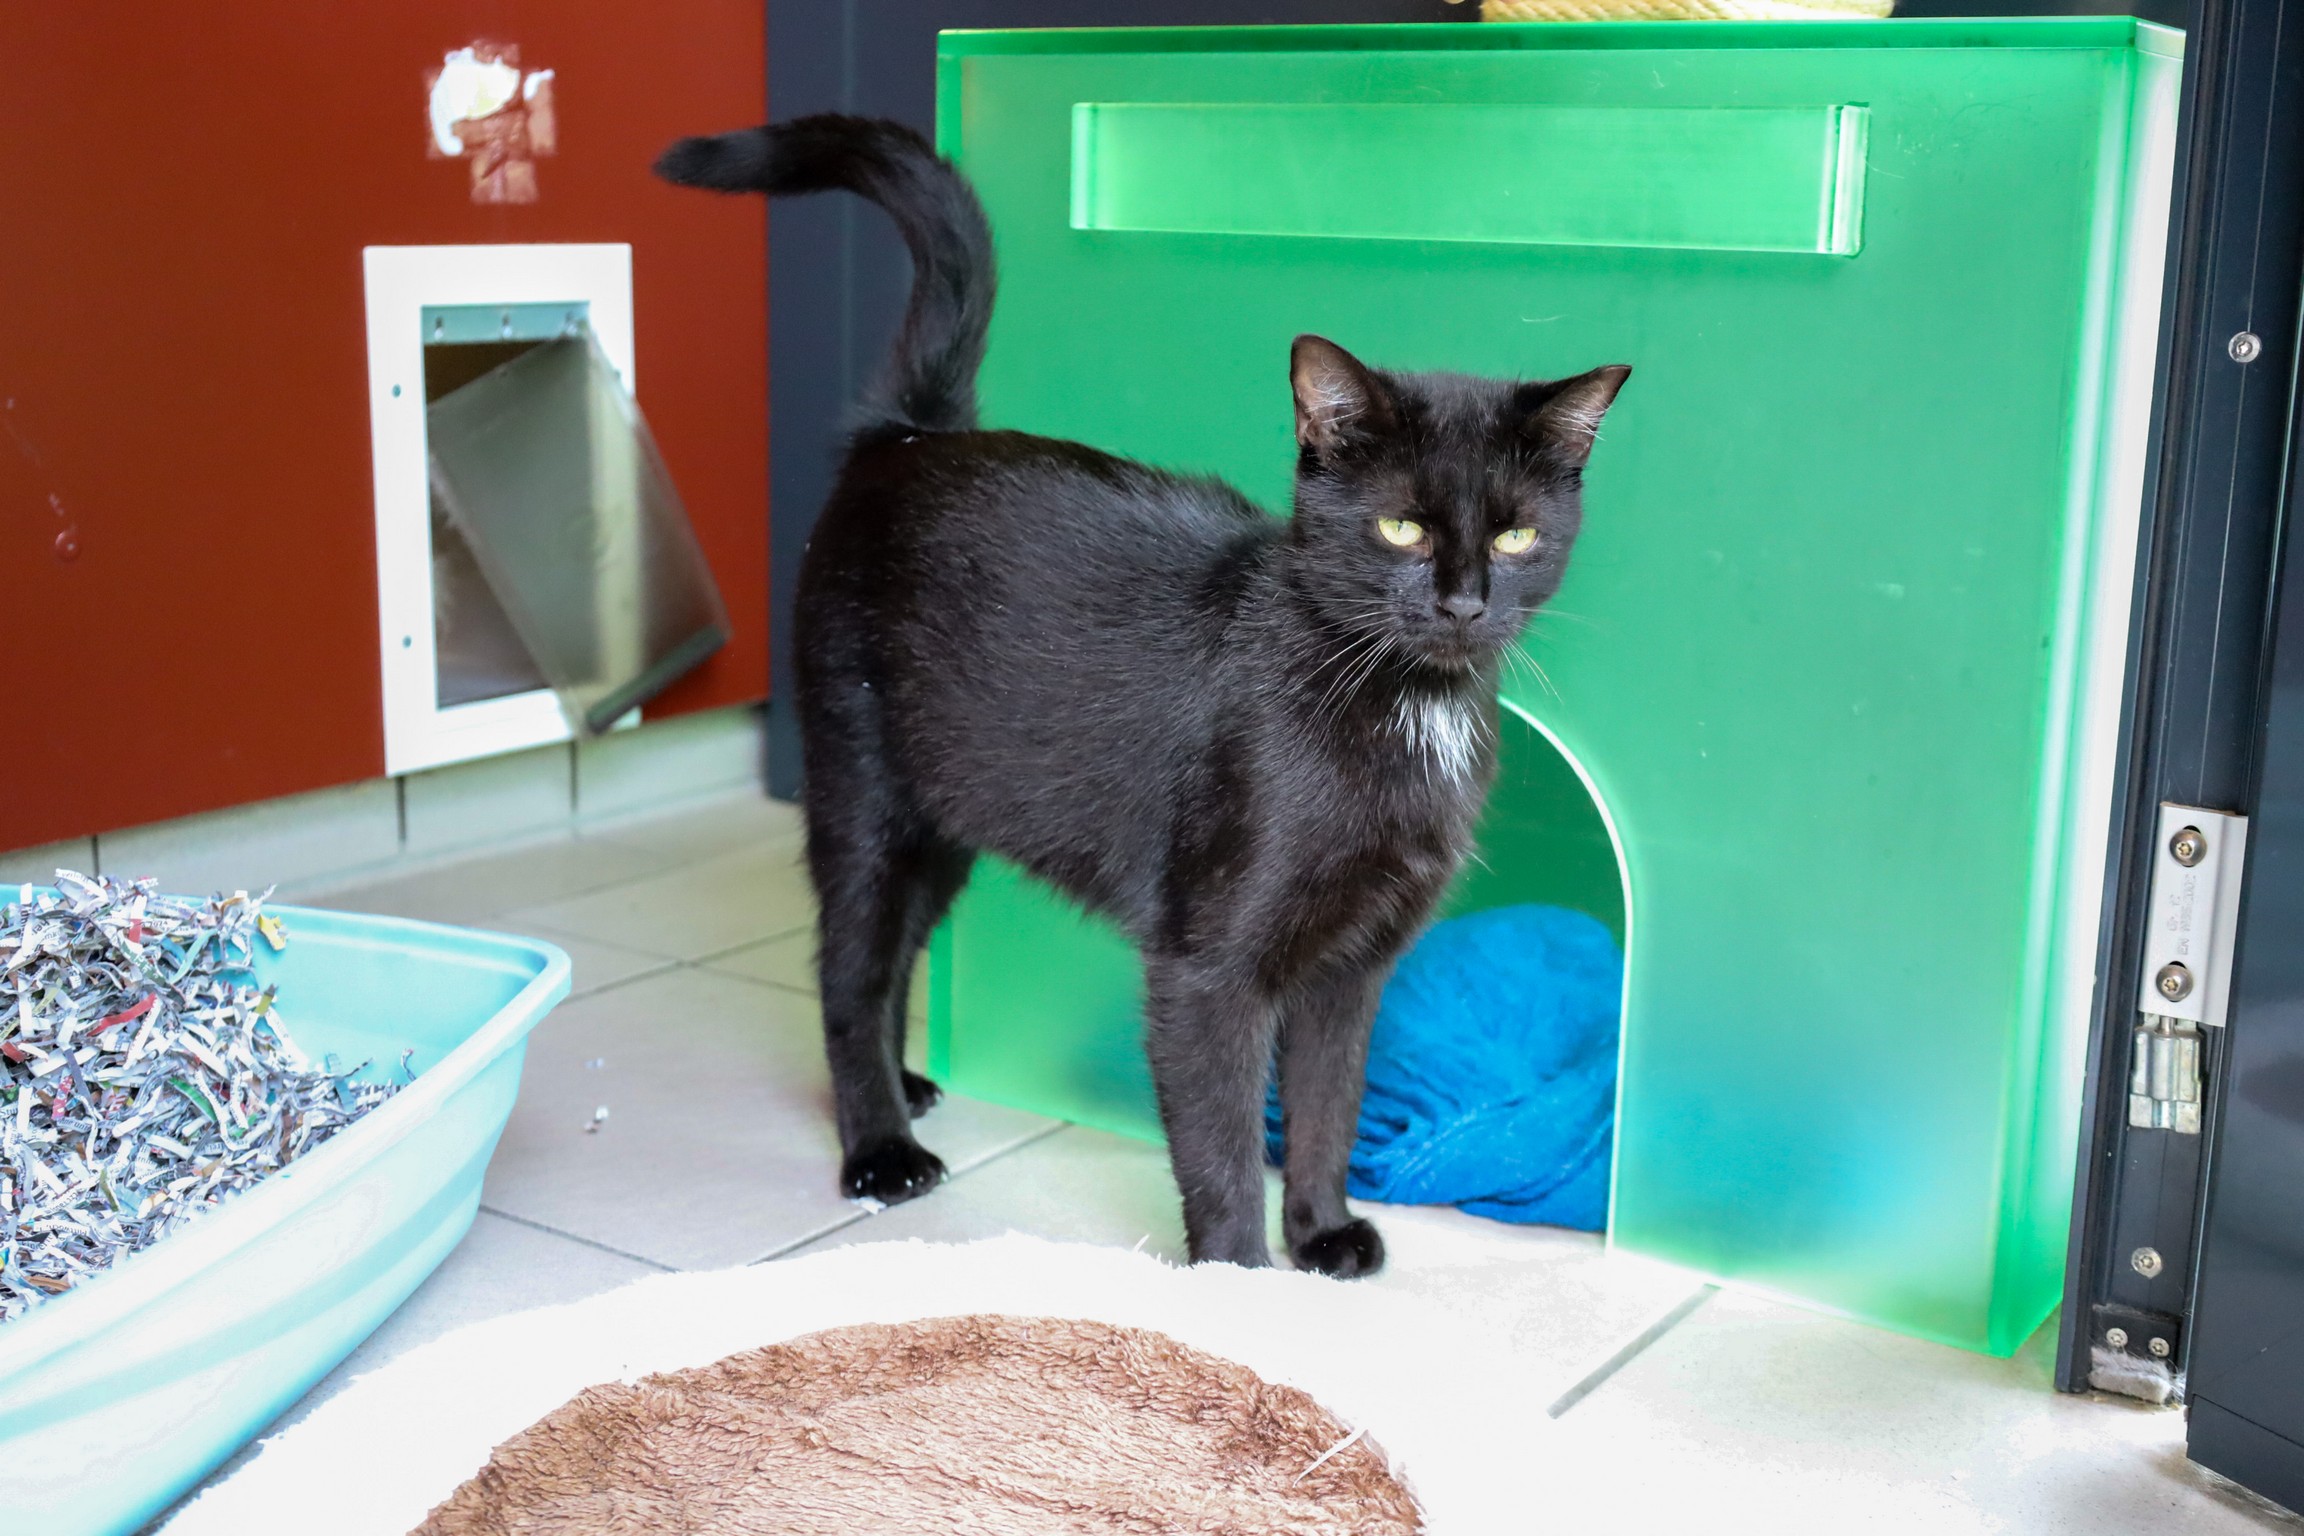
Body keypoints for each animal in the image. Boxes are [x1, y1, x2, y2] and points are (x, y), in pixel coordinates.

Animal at [656, 114, 1628, 1276]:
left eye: (1518, 534)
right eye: (1401, 527)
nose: (1464, 601)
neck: (1394, 702)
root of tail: (909, 433)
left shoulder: (1353, 966)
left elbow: (1329, 1103)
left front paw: (1323, 1234)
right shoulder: (1206, 967)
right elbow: (1221, 1145)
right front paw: (1242, 1280)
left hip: (949, 819)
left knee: (894, 956)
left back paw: (910, 1088)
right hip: (864, 787)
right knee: (849, 968)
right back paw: (879, 1147)